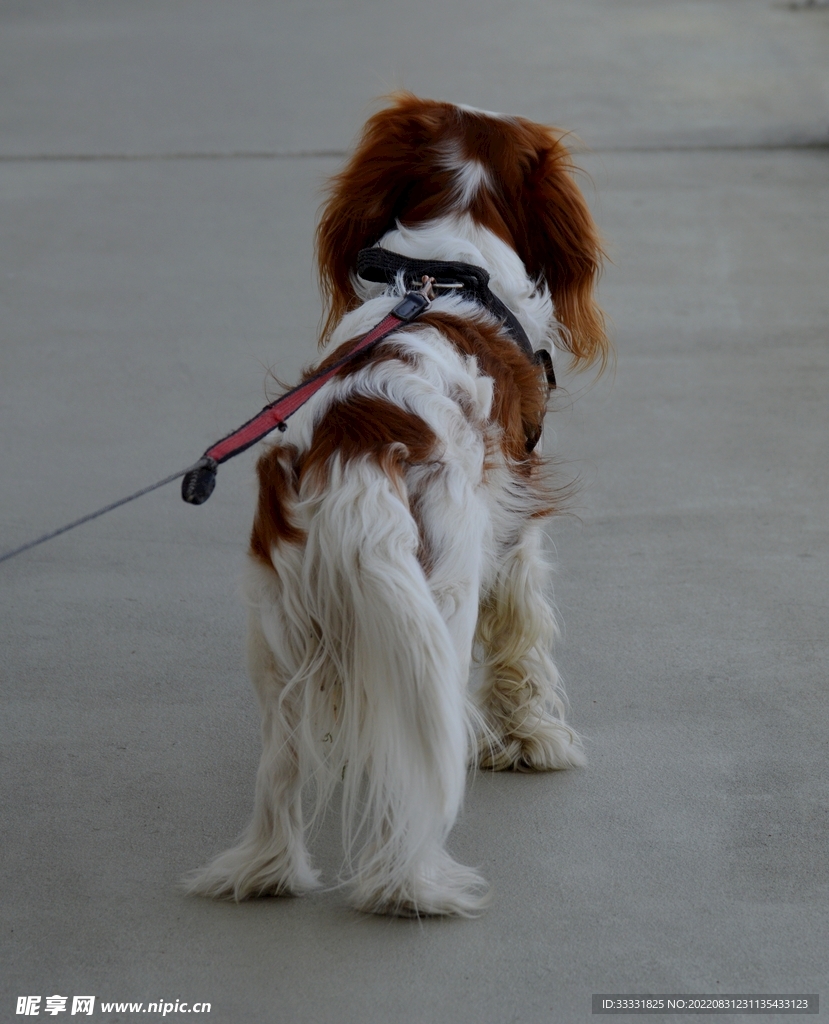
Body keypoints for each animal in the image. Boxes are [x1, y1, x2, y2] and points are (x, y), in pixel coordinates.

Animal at [187, 92, 605, 917]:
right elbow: (523, 640)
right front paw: (533, 741)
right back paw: (413, 886)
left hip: (277, 631)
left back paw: (267, 871)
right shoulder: (511, 526)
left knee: (279, 777)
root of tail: (356, 448)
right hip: (438, 600)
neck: (448, 264)